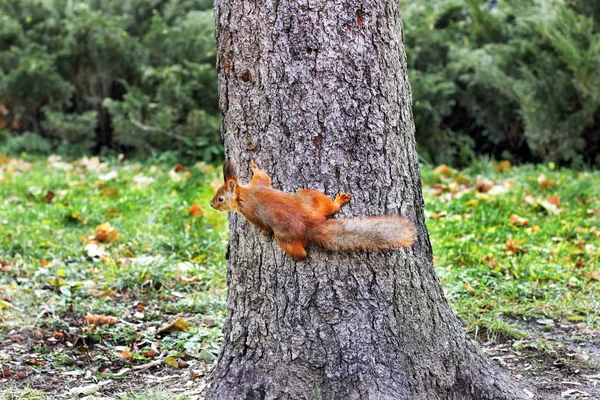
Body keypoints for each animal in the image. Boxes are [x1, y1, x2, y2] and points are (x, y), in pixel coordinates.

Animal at [211, 161, 418, 260]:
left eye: (220, 198)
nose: (211, 205)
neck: (244, 193)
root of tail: (310, 226)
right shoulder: (259, 184)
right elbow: (263, 176)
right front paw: (255, 167)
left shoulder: (250, 213)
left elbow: (262, 225)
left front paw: (262, 232)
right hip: (310, 198)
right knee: (329, 208)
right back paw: (338, 201)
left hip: (285, 238)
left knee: (298, 251)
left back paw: (301, 257)